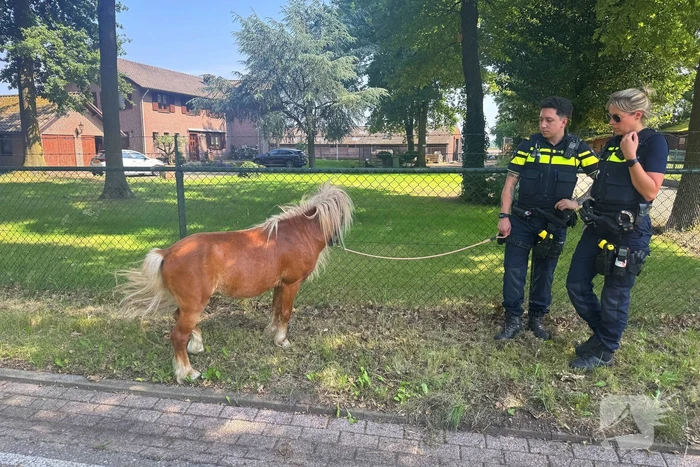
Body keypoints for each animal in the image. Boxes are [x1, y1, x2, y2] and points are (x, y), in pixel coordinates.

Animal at [117, 183, 354, 383]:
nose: (334, 240)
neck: (298, 233)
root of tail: (167, 253)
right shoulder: (291, 284)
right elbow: (286, 312)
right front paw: (282, 340)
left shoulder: (279, 285)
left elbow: (276, 309)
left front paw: (270, 331)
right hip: (194, 304)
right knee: (177, 336)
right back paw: (187, 372)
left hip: (189, 304)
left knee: (179, 320)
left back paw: (197, 345)